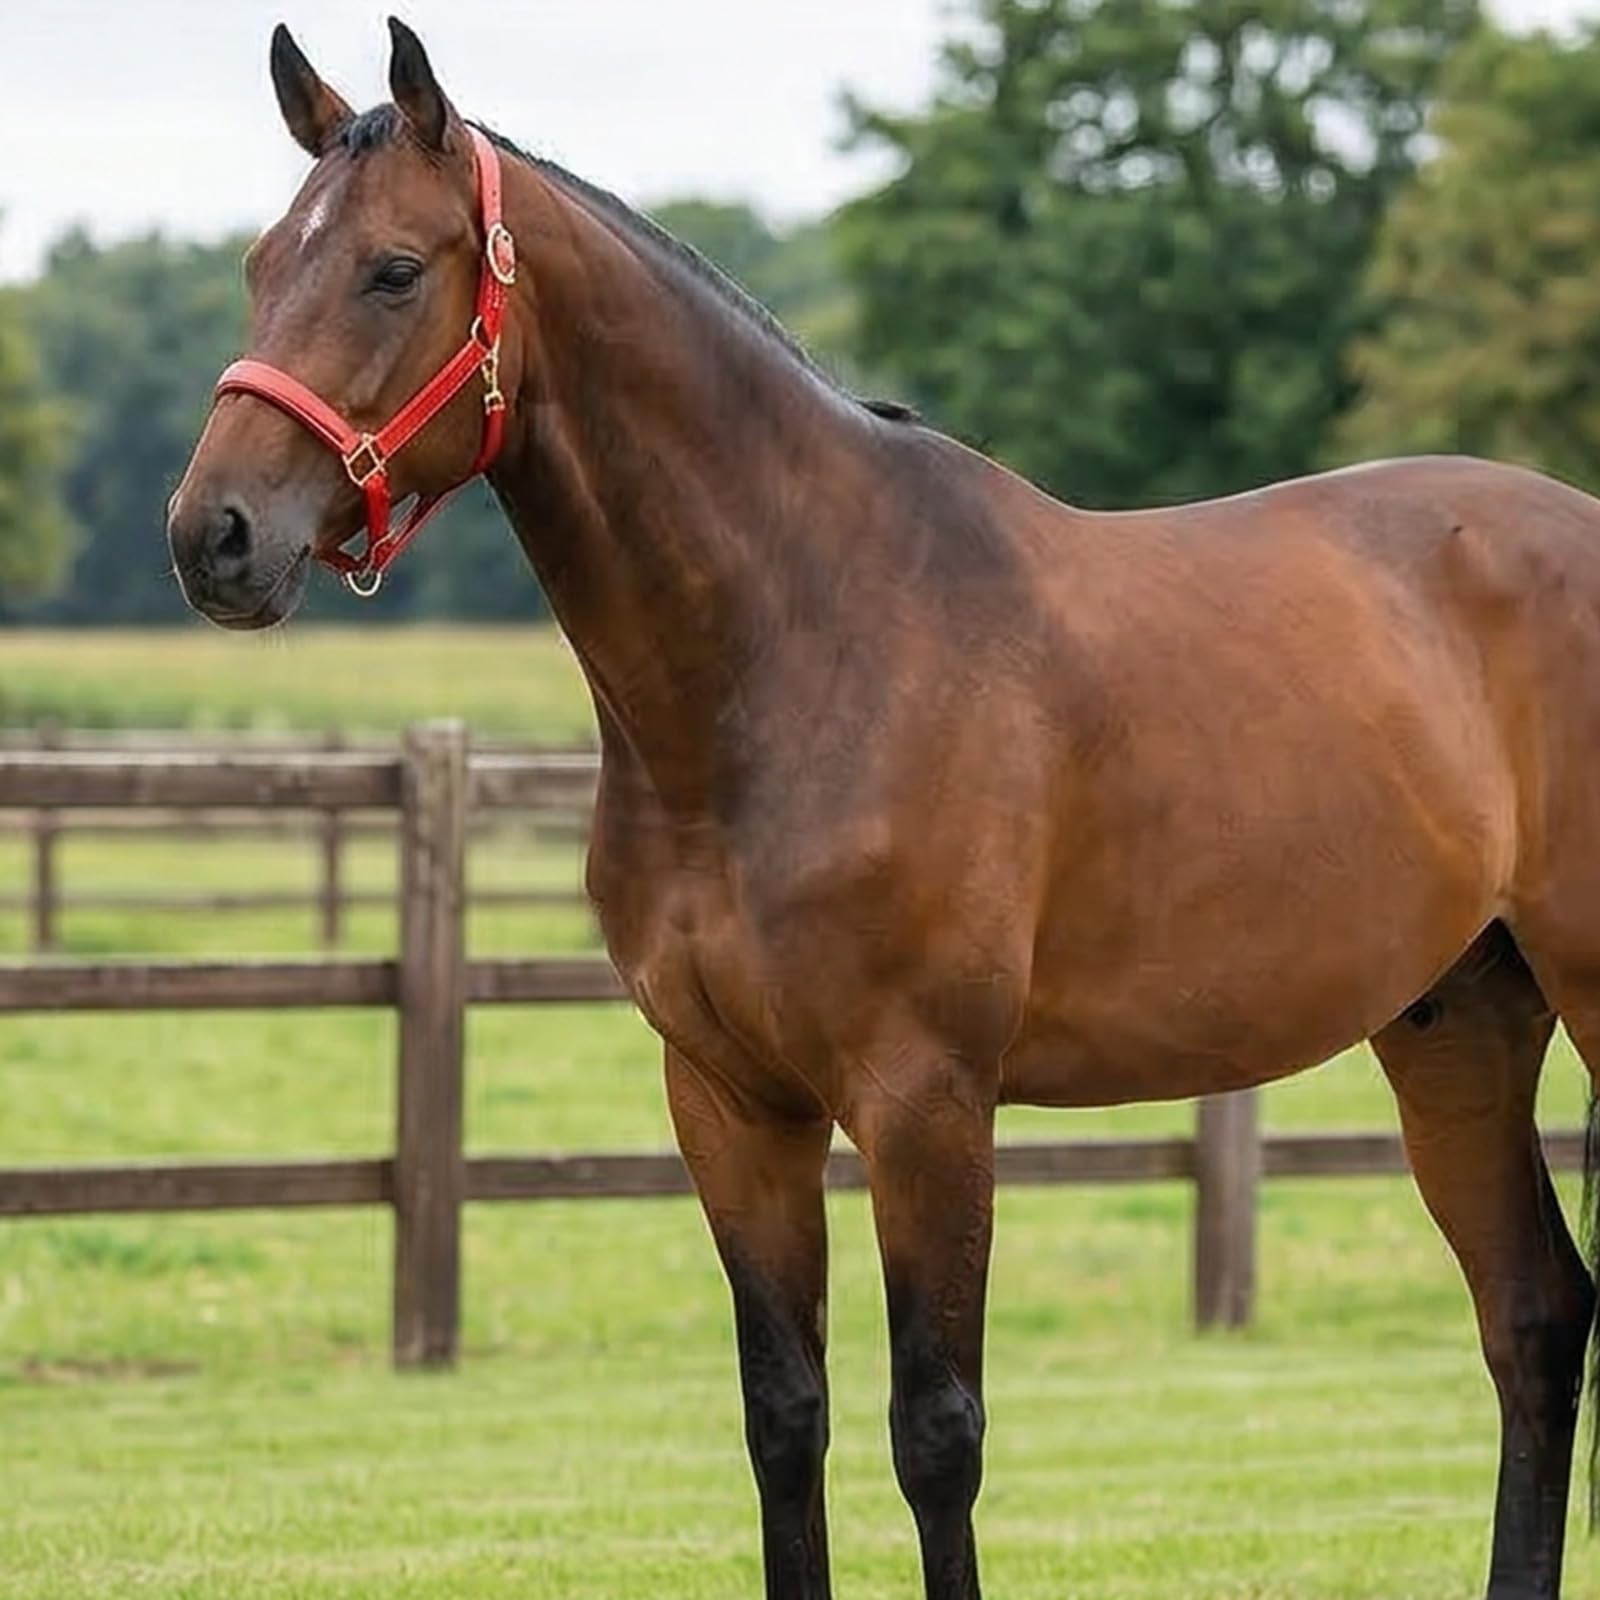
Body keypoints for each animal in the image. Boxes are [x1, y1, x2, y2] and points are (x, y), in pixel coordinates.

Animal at [168, 22, 1600, 1599]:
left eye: (391, 271)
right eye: (259, 264)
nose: (211, 537)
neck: (805, 643)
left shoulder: (926, 1101)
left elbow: (937, 1431)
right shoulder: (730, 1103)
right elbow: (784, 1417)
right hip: (1457, 1021)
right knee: (1533, 1318)